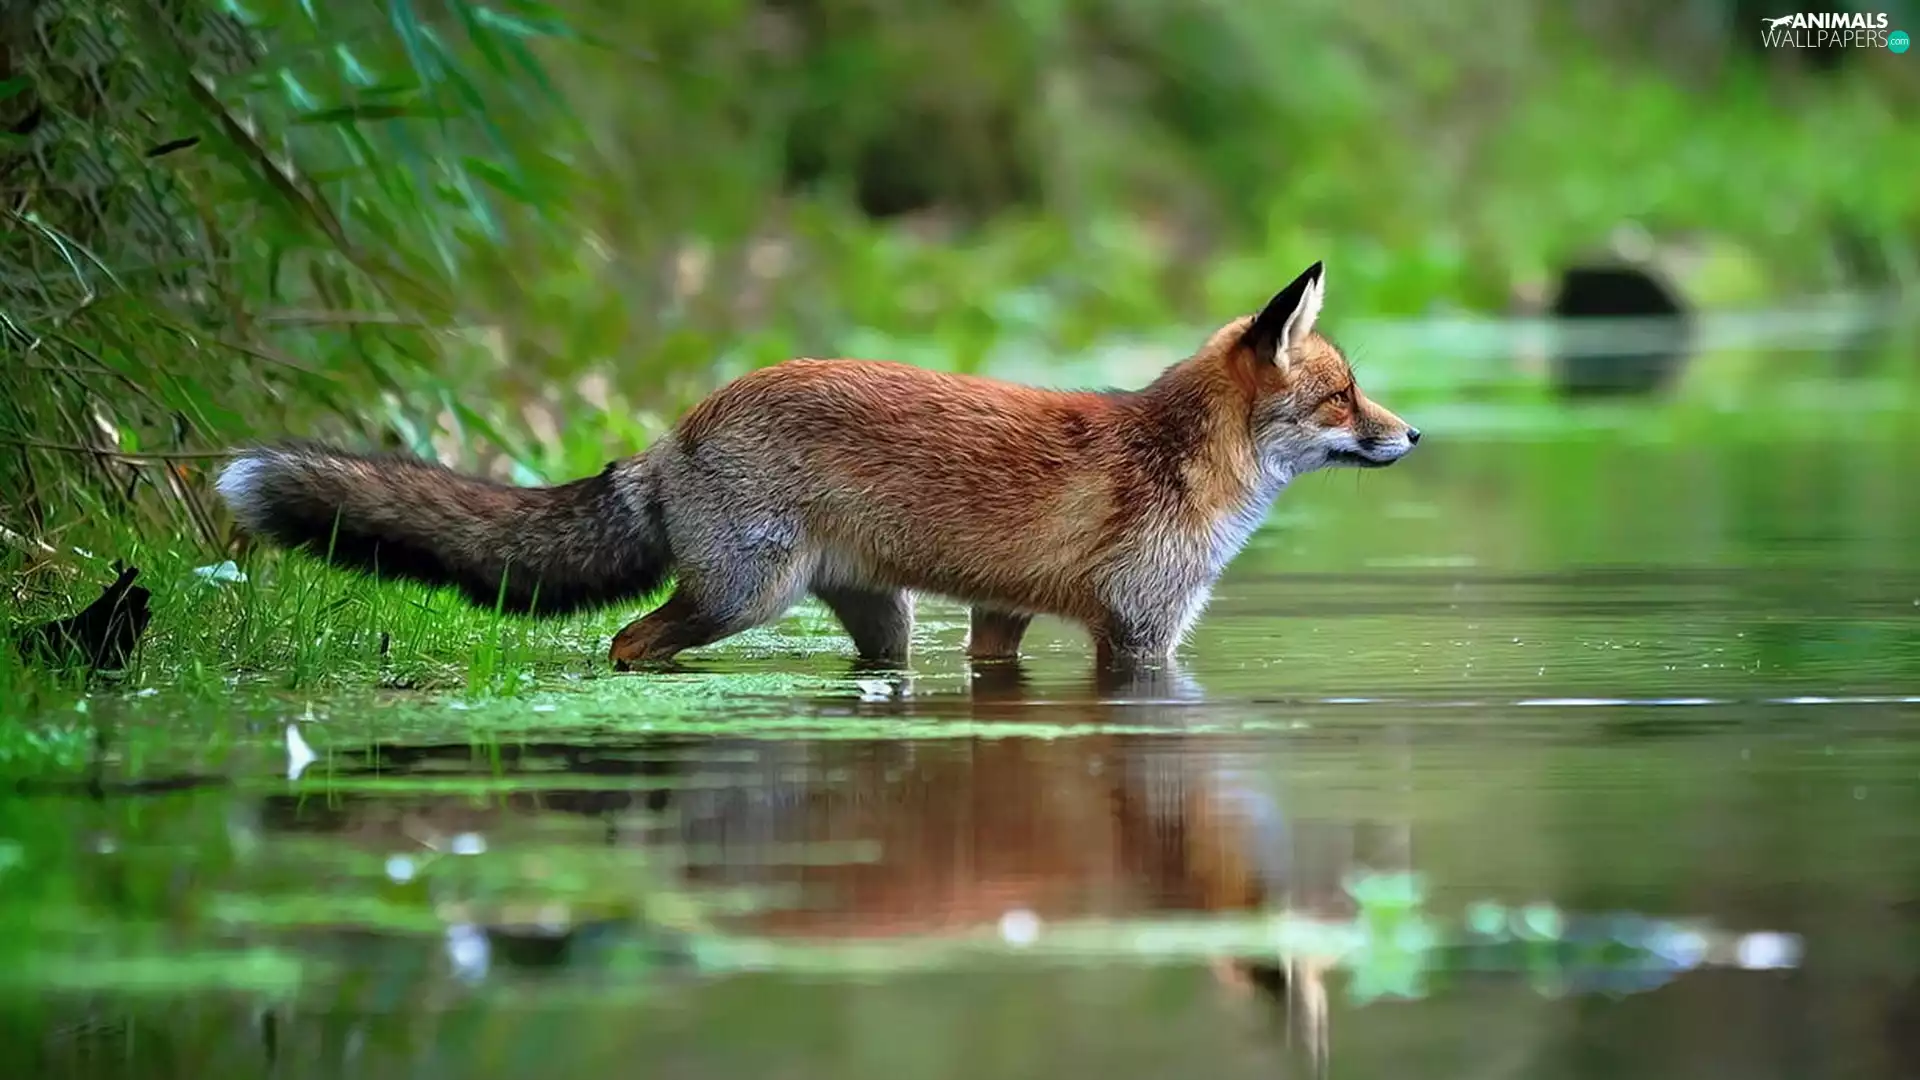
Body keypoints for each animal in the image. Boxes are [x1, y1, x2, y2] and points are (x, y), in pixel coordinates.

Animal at [216, 261, 1418, 669]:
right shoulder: (1139, 632)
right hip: (743, 600)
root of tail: (674, 434)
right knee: (627, 640)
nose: (1414, 438)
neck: (1181, 459)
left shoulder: (1006, 618)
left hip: (879, 619)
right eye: (1345, 399)